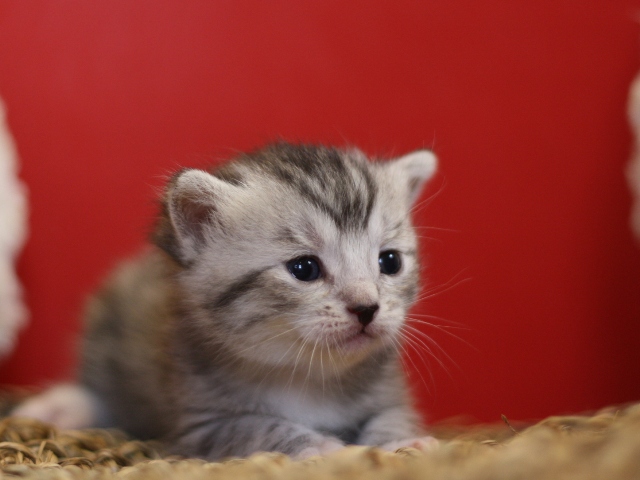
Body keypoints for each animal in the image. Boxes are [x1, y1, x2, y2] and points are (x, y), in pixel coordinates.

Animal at [17, 142, 442, 458]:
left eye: (390, 262)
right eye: (304, 268)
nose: (367, 308)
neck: (307, 374)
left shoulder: (390, 393)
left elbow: (390, 417)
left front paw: (399, 441)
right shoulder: (204, 423)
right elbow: (263, 428)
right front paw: (328, 449)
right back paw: (60, 408)